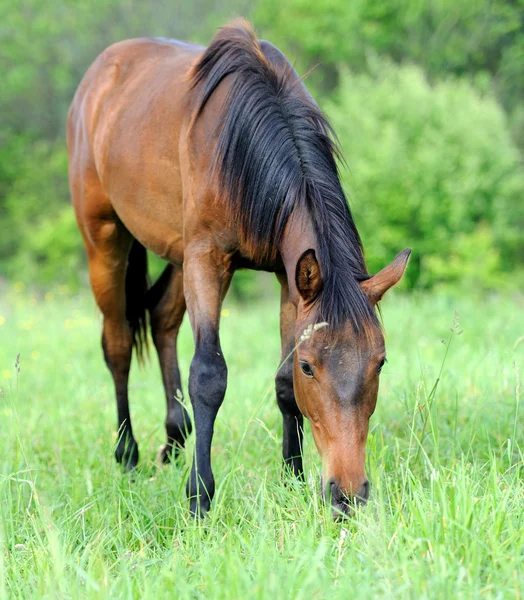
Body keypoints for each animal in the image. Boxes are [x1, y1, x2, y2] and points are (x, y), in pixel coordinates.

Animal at [66, 18, 410, 516]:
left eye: (380, 362)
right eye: (311, 366)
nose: (347, 494)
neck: (245, 141)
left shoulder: (289, 276)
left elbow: (282, 384)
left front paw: (292, 477)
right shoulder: (208, 258)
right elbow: (209, 375)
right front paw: (200, 497)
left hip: (177, 254)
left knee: (162, 318)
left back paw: (174, 440)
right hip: (106, 240)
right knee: (118, 343)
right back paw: (128, 456)